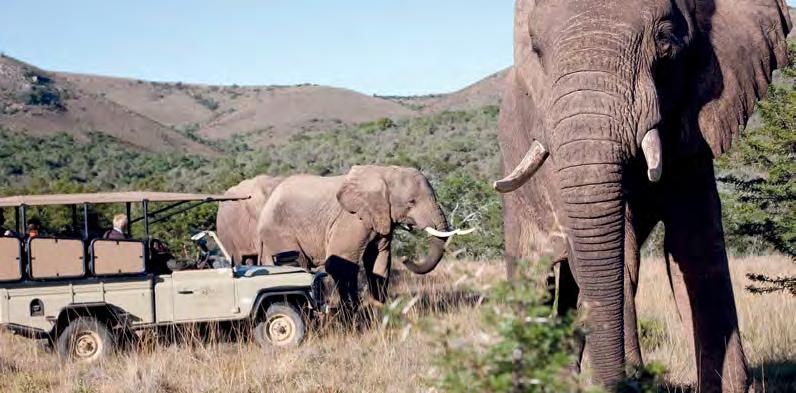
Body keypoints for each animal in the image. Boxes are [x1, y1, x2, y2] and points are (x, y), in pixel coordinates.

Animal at [498, 0, 788, 388]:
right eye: (537, 50)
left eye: (664, 41)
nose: (623, 383)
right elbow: (623, 253)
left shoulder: (692, 128)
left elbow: (696, 244)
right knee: (533, 279)